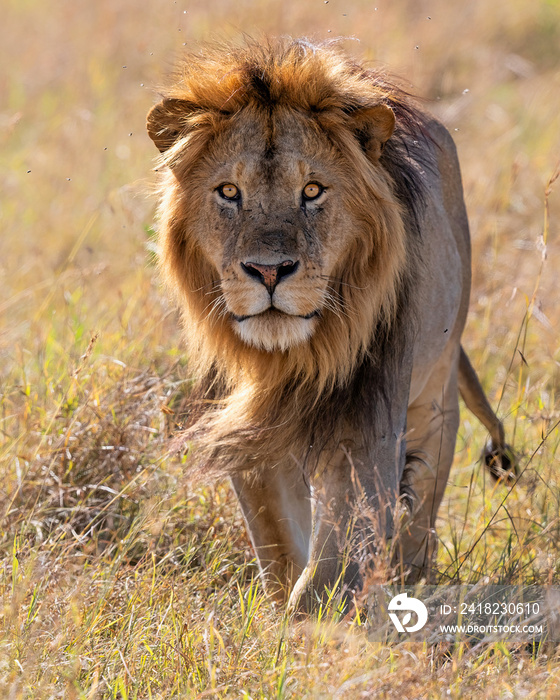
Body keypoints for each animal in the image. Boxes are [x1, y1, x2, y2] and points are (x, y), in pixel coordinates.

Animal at [147, 38, 516, 608]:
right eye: (229, 192)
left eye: (313, 191)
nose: (269, 271)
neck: (290, 359)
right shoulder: (250, 435)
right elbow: (279, 548)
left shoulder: (365, 427)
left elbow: (330, 565)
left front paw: (323, 618)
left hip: (436, 391)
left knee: (423, 507)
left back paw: (407, 579)